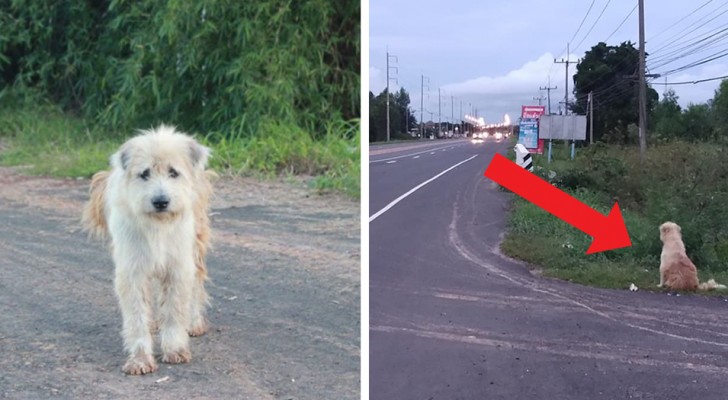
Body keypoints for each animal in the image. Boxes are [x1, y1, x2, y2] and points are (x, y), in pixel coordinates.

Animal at [82, 125, 215, 376]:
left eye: (173, 172)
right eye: (144, 174)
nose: (161, 201)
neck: (158, 225)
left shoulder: (177, 267)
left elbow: (174, 311)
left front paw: (175, 349)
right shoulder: (132, 270)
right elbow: (136, 316)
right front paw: (140, 359)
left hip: (196, 246)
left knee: (196, 287)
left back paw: (194, 322)